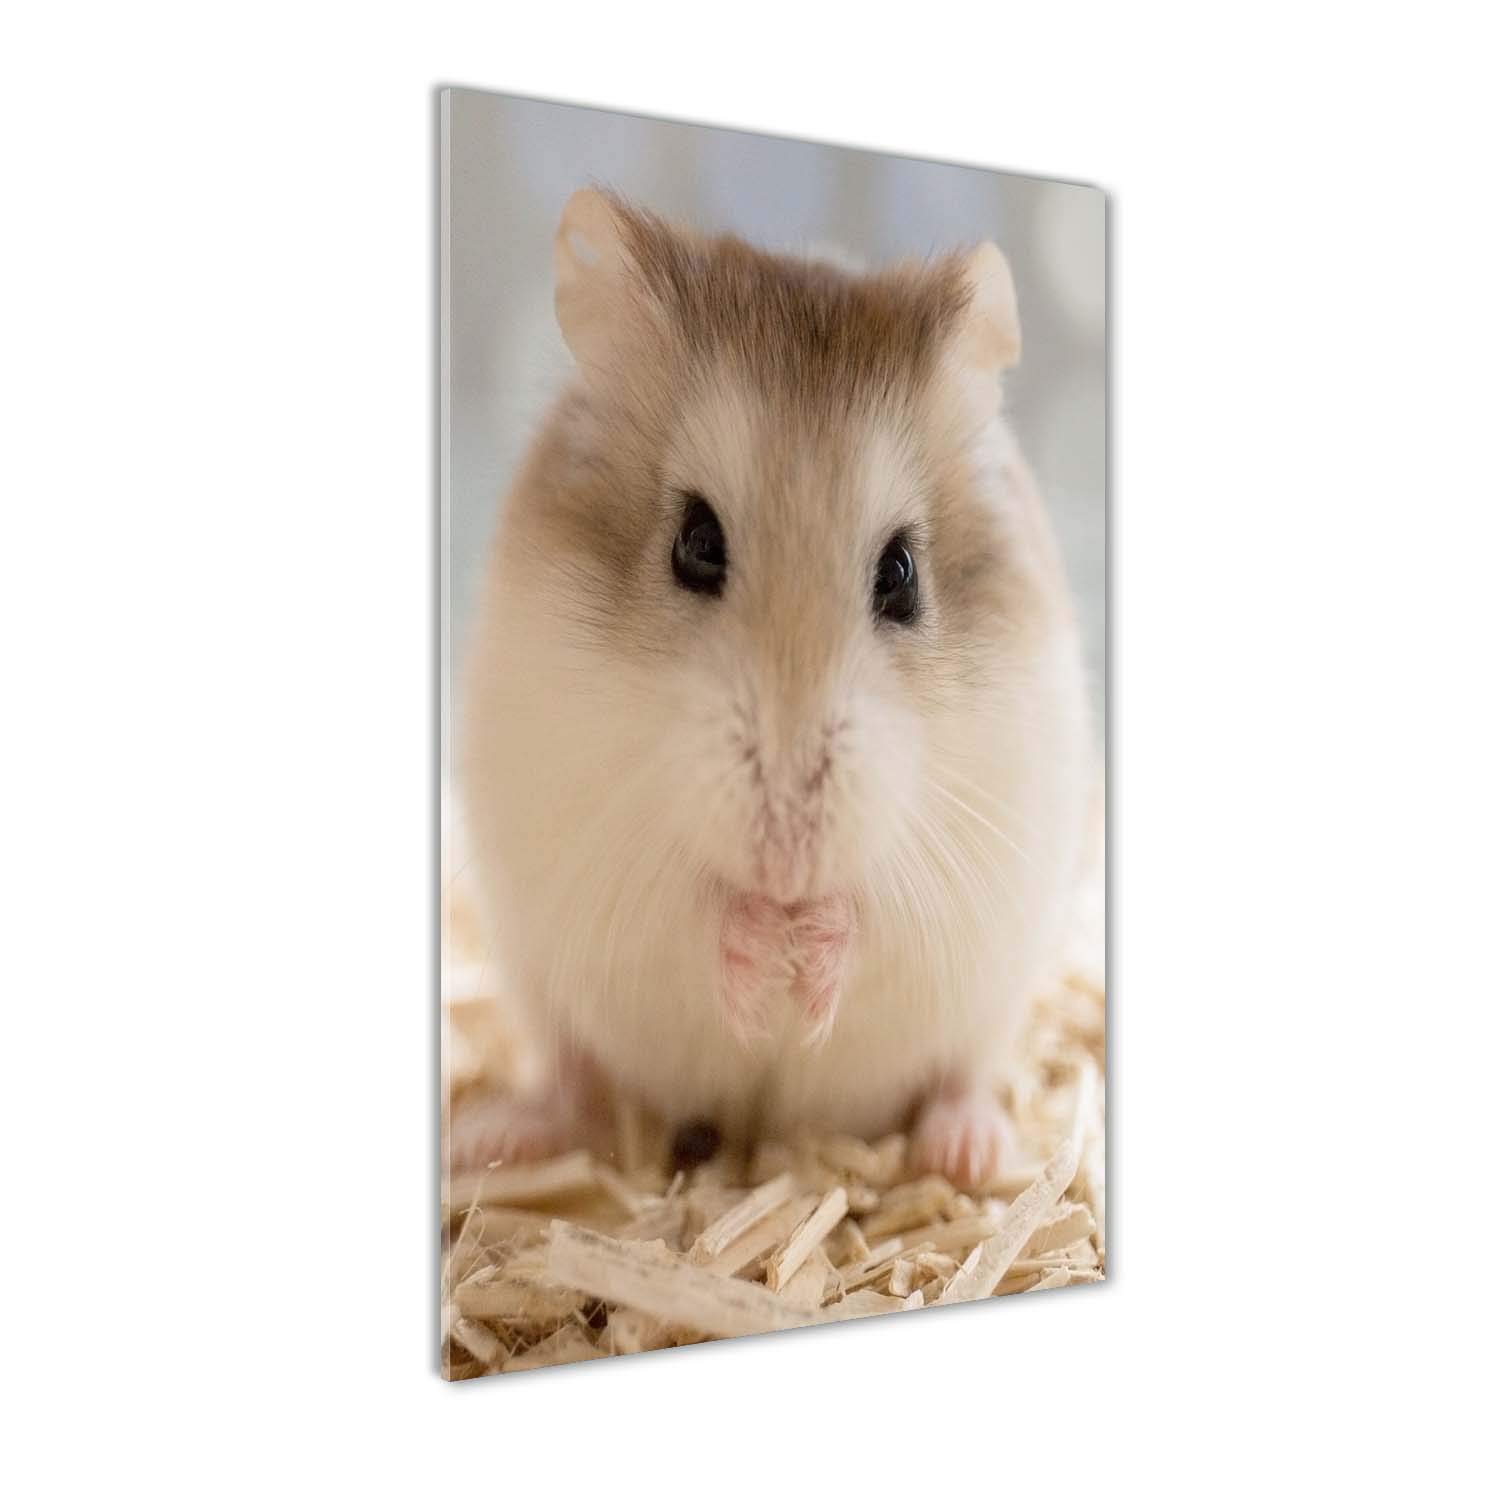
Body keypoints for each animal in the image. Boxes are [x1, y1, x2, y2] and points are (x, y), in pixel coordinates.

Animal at [453, 189, 1093, 1188]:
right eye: (696, 544)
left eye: (902, 574)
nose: (789, 856)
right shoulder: (603, 842)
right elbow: (695, 905)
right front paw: (764, 957)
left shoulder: (966, 858)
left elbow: (876, 911)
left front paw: (808, 954)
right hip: (535, 976)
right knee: (574, 1080)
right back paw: (491, 1136)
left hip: (998, 992)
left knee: (961, 1073)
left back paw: (969, 1154)